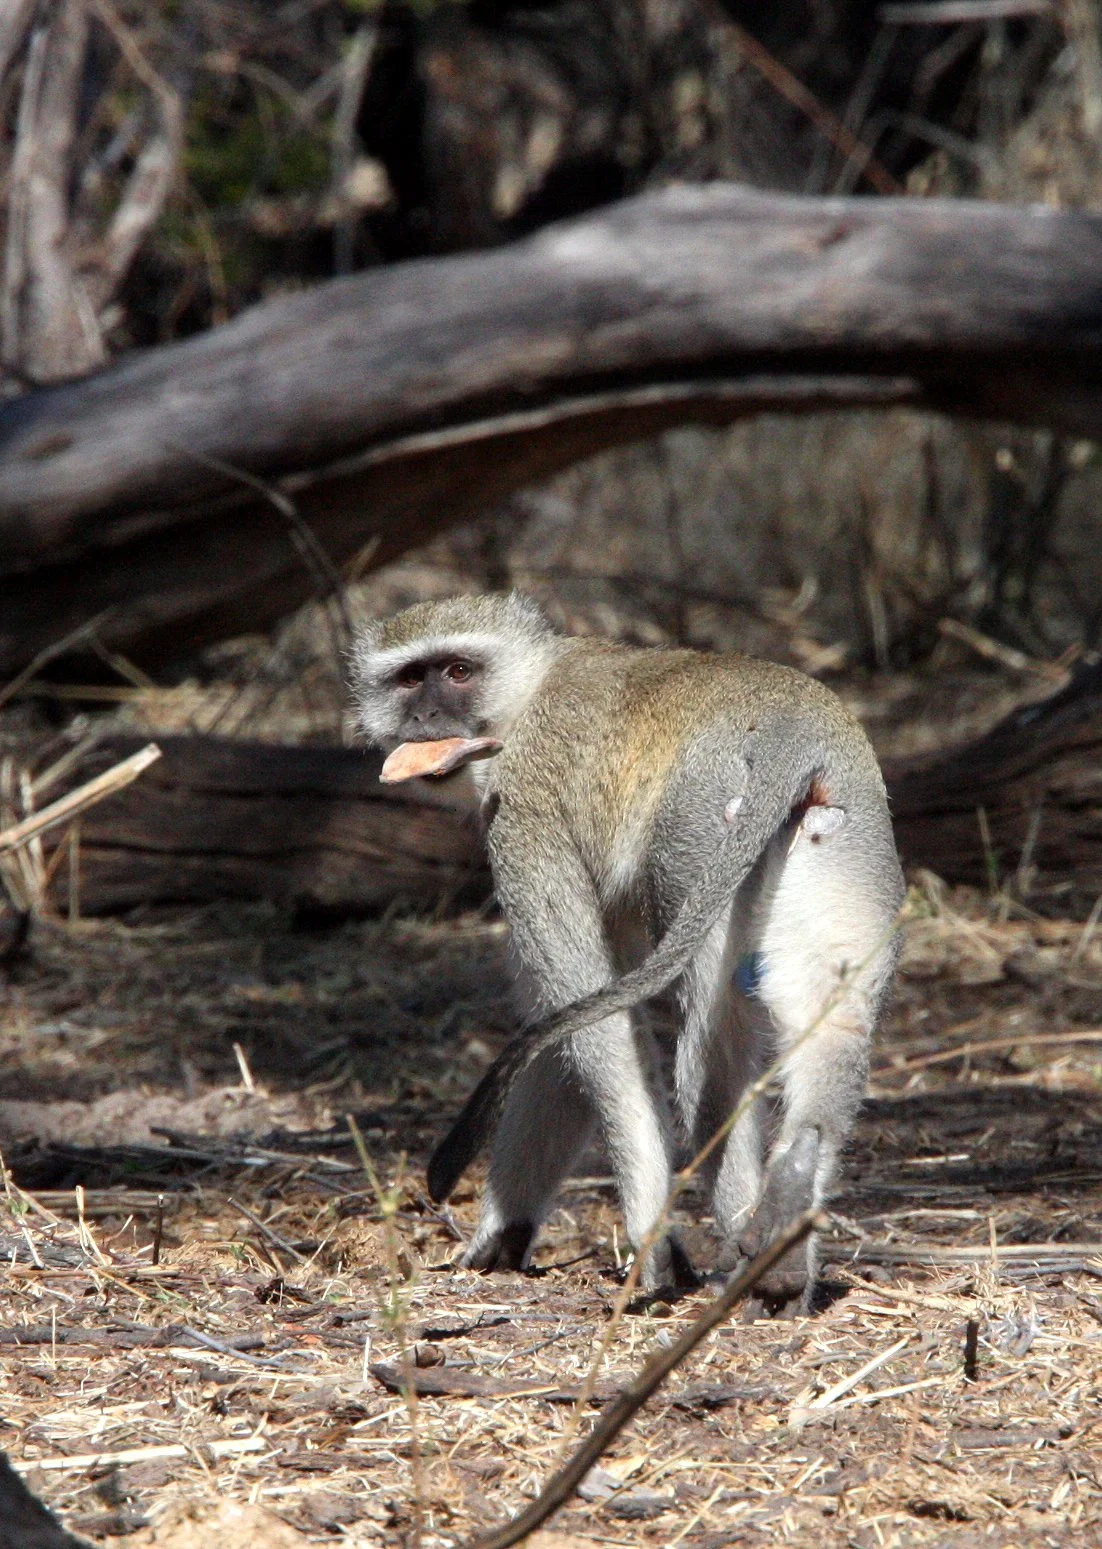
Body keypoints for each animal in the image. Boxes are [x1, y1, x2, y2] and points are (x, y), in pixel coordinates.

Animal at [351, 593, 904, 1311]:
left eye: (458, 671)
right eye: (410, 678)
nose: (425, 718)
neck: (530, 689)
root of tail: (792, 726)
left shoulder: (522, 810)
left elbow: (596, 1026)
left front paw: (651, 1238)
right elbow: (562, 1028)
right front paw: (503, 1233)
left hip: (699, 831)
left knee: (708, 1057)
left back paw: (752, 1250)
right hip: (848, 839)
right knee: (835, 1021)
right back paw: (790, 1218)